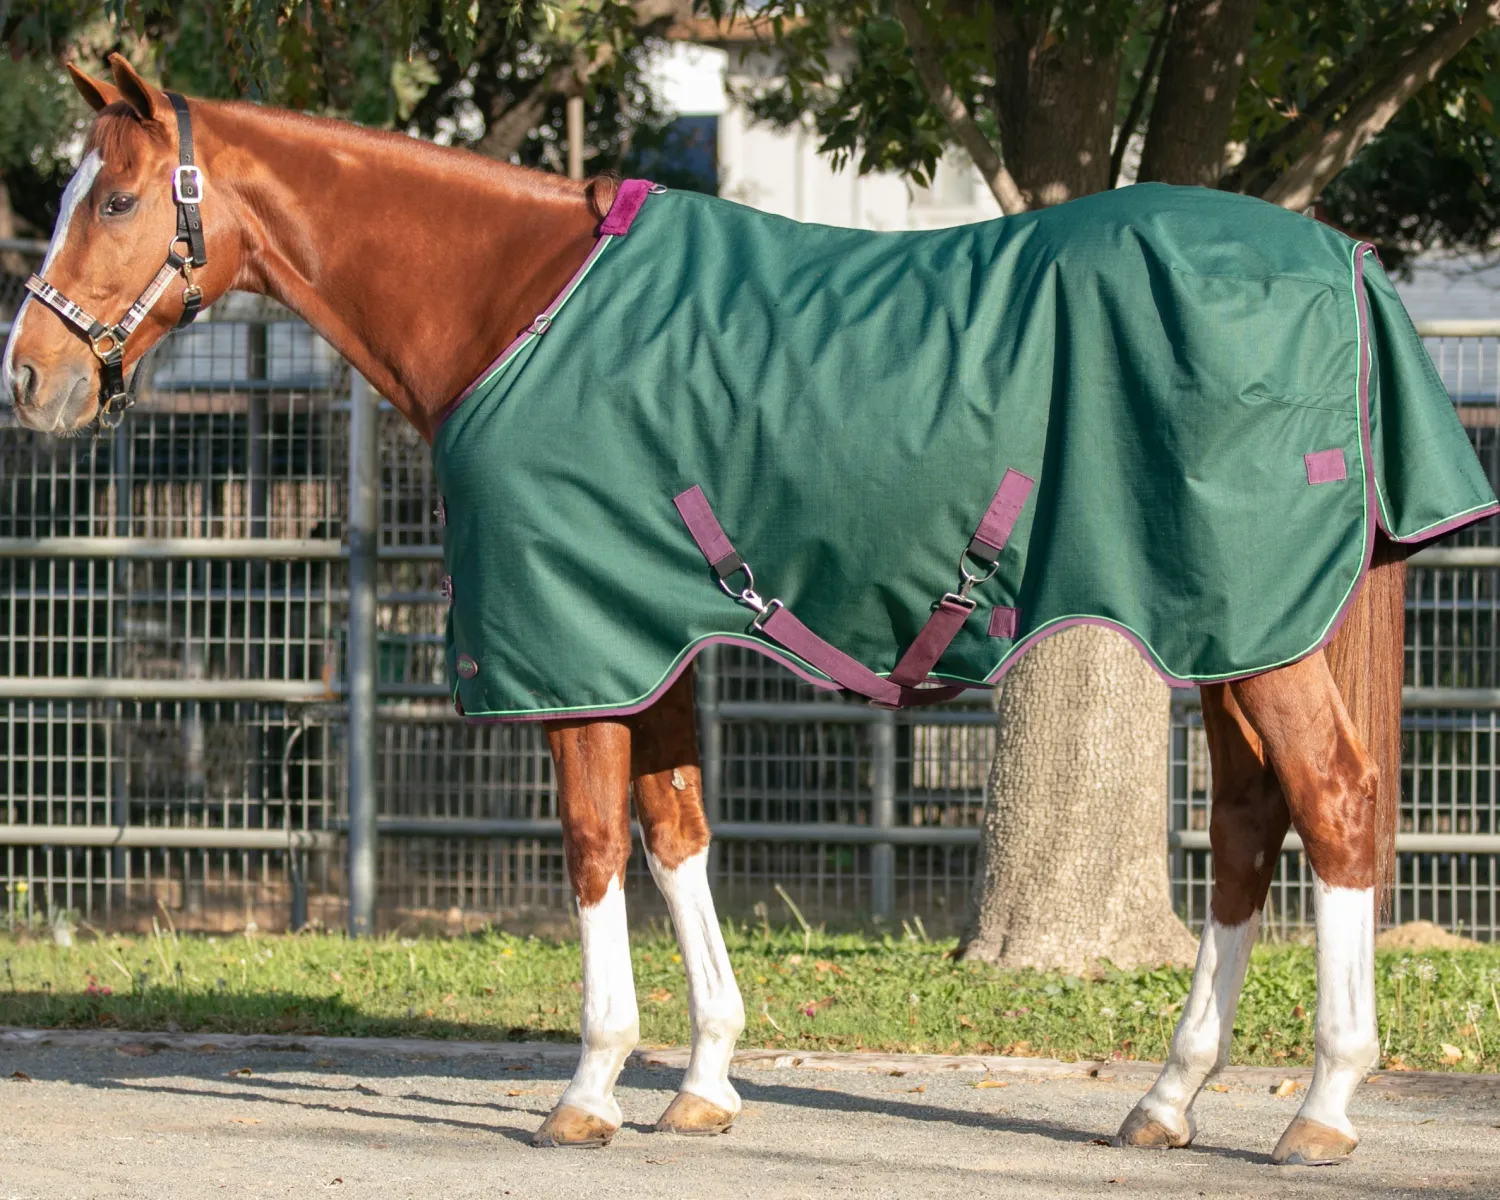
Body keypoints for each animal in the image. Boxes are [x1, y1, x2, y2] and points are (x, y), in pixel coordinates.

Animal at [5, 54, 1483, 1166]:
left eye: (119, 197)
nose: (27, 380)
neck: (515, 305)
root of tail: (1346, 263)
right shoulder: (651, 638)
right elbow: (678, 836)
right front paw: (705, 1081)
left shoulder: (577, 647)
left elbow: (593, 845)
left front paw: (589, 1089)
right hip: (1240, 633)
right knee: (1248, 827)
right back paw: (1168, 1099)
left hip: (1256, 636)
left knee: (1335, 802)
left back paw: (1323, 1106)